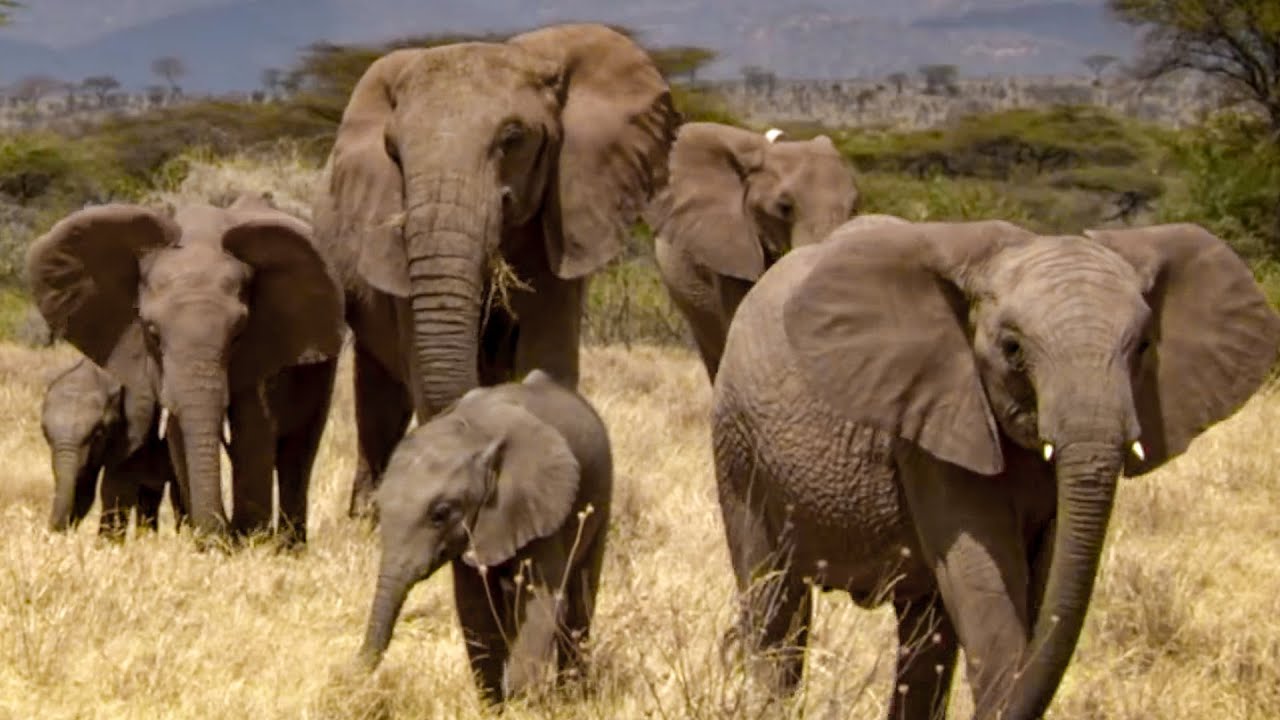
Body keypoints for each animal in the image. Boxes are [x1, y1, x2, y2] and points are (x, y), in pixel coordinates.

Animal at [42, 356, 184, 539]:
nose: (49, 534)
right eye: (45, 433)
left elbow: (115, 491)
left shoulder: (137, 430)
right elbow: (84, 490)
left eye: (98, 434)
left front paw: (105, 544)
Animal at [311, 22, 677, 520]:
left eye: (514, 138)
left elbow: (546, 359)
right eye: (393, 151)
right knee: (378, 396)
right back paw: (365, 520)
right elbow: (422, 372)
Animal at [358, 369, 612, 705]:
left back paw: (574, 695)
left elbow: (541, 602)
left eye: (440, 514)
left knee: (582, 595)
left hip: (602, 493)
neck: (473, 439)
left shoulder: (539, 507)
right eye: (379, 506)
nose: (351, 680)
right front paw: (495, 703)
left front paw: (522, 702)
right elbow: (474, 605)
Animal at [710, 220, 1280, 719]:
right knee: (775, 610)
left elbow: (1043, 586)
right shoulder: (934, 427)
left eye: (1142, 347)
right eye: (1012, 348)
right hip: (738, 448)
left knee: (925, 635)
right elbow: (986, 592)